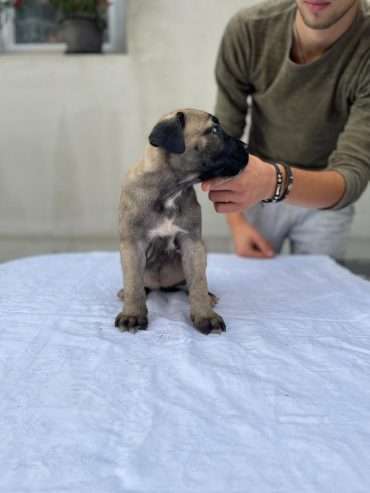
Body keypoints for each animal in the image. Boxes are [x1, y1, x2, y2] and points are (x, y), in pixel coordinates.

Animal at [115, 105, 249, 332]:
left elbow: (198, 282)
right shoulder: (133, 244)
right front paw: (132, 314)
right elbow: (133, 282)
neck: (171, 190)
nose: (247, 147)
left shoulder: (192, 244)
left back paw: (207, 296)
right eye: (214, 130)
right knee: (141, 285)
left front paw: (205, 315)